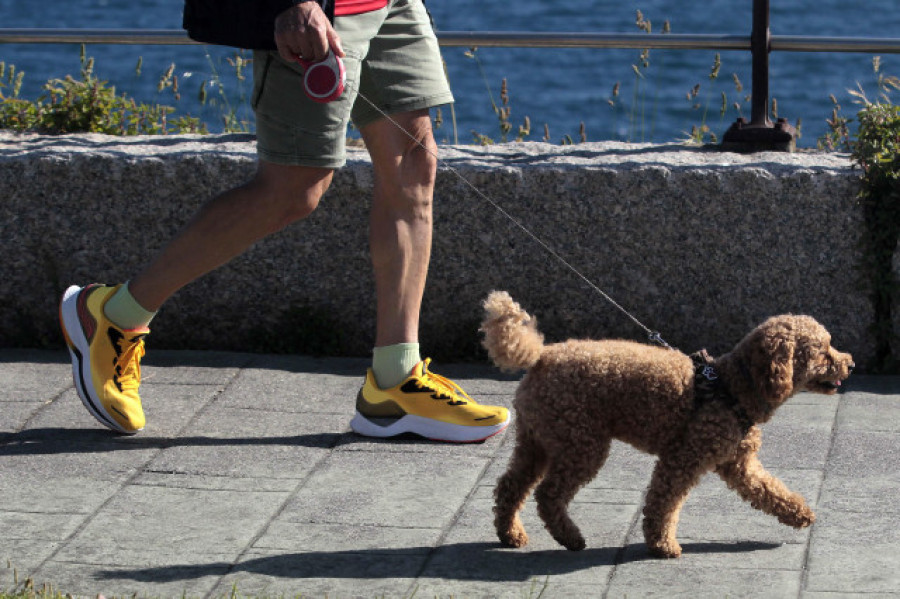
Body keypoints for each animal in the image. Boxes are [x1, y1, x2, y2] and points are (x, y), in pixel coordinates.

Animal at [482, 292, 856, 560]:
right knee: (547, 494)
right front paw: (662, 544)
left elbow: (768, 490)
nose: (850, 364)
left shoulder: (739, 463)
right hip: (581, 443)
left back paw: (510, 534)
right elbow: (664, 502)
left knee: (511, 486)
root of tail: (540, 357)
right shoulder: (684, 457)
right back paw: (570, 537)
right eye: (823, 351)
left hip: (538, 439)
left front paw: (800, 514)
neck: (732, 387)